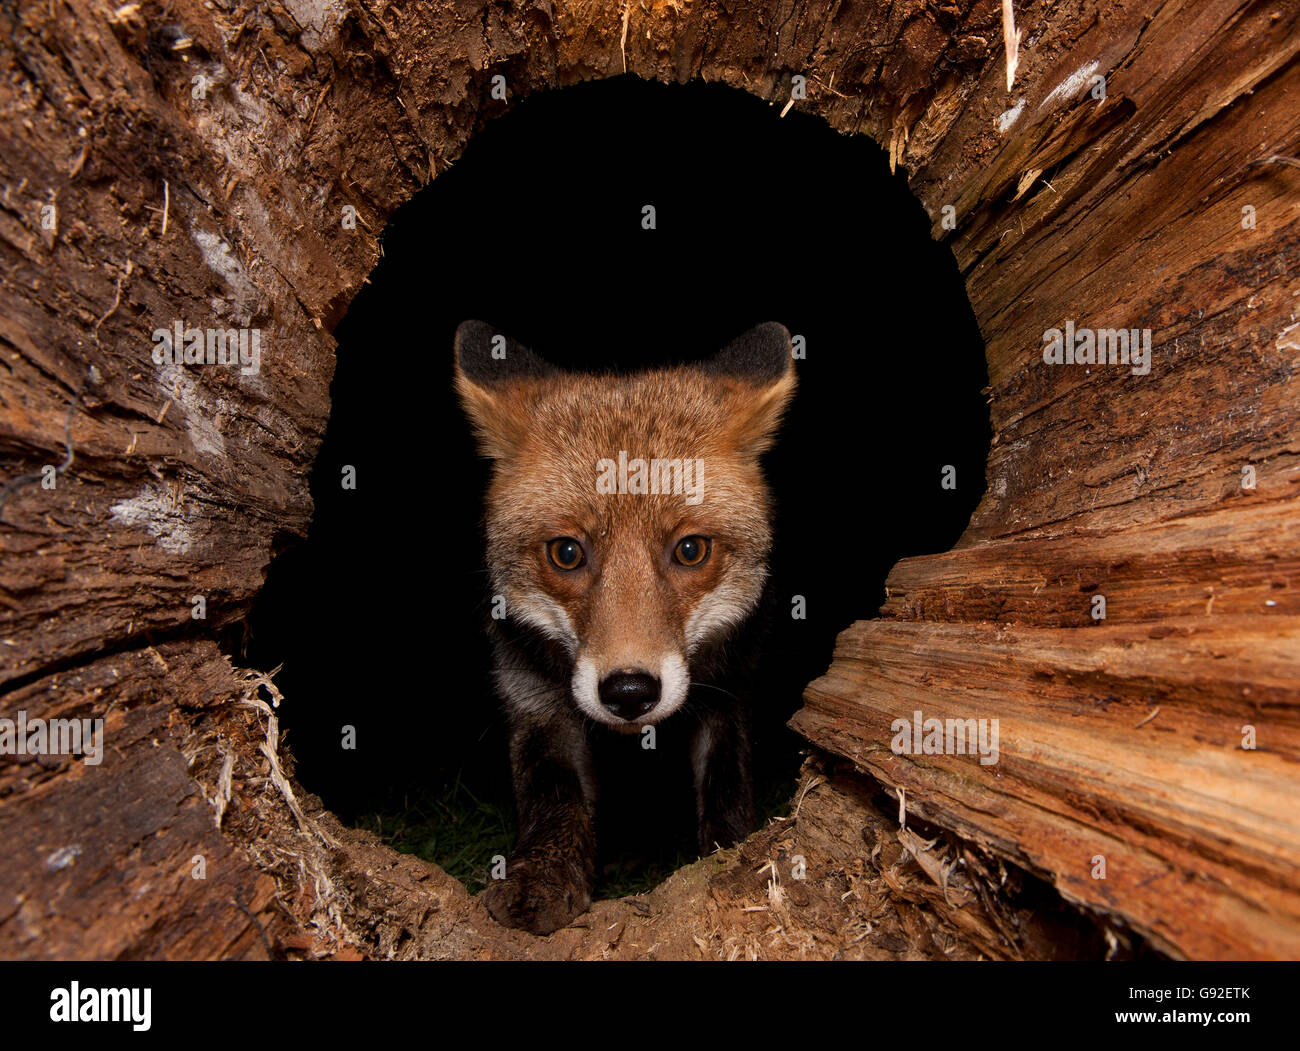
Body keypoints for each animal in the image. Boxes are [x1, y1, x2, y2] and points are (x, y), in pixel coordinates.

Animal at [457, 319, 800, 936]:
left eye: (690, 550)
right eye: (567, 553)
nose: (630, 692)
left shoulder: (727, 694)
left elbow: (726, 792)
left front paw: (728, 859)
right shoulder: (533, 699)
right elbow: (553, 798)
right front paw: (540, 877)